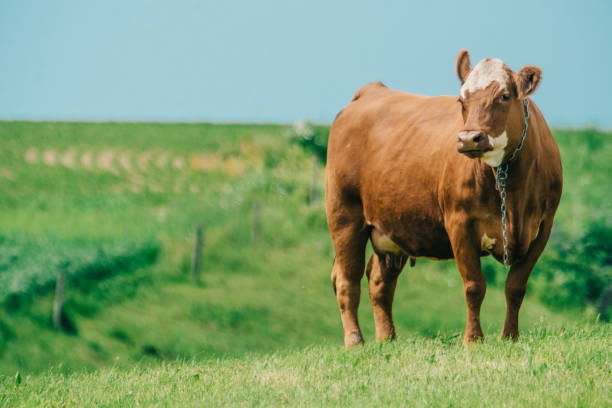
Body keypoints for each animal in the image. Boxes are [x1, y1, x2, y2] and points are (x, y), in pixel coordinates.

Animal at [328, 49, 560, 346]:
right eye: (462, 100)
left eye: (505, 96)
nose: (469, 138)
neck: (511, 191)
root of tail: (372, 90)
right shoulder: (459, 222)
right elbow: (474, 286)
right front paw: (473, 340)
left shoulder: (543, 227)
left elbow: (516, 287)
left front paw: (510, 337)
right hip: (344, 213)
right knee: (347, 278)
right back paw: (355, 341)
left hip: (389, 229)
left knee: (380, 282)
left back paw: (387, 339)